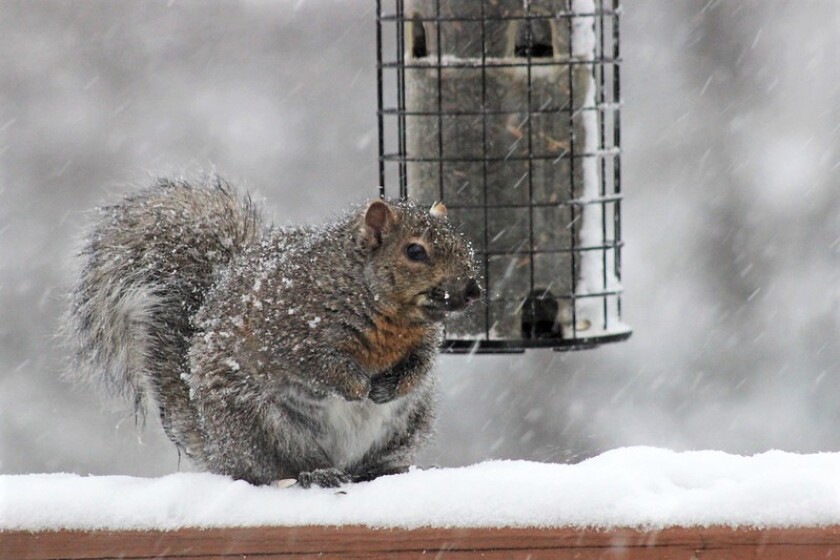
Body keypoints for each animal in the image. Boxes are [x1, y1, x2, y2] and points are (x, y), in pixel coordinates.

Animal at [67, 176, 480, 488]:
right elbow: (319, 367)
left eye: (462, 243)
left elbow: (418, 368)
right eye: (415, 252)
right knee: (277, 470)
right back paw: (315, 474)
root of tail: (217, 448)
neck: (392, 314)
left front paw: (390, 386)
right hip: (263, 427)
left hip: (407, 425)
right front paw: (359, 386)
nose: (473, 290)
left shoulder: (423, 342)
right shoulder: (289, 330)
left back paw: (384, 470)